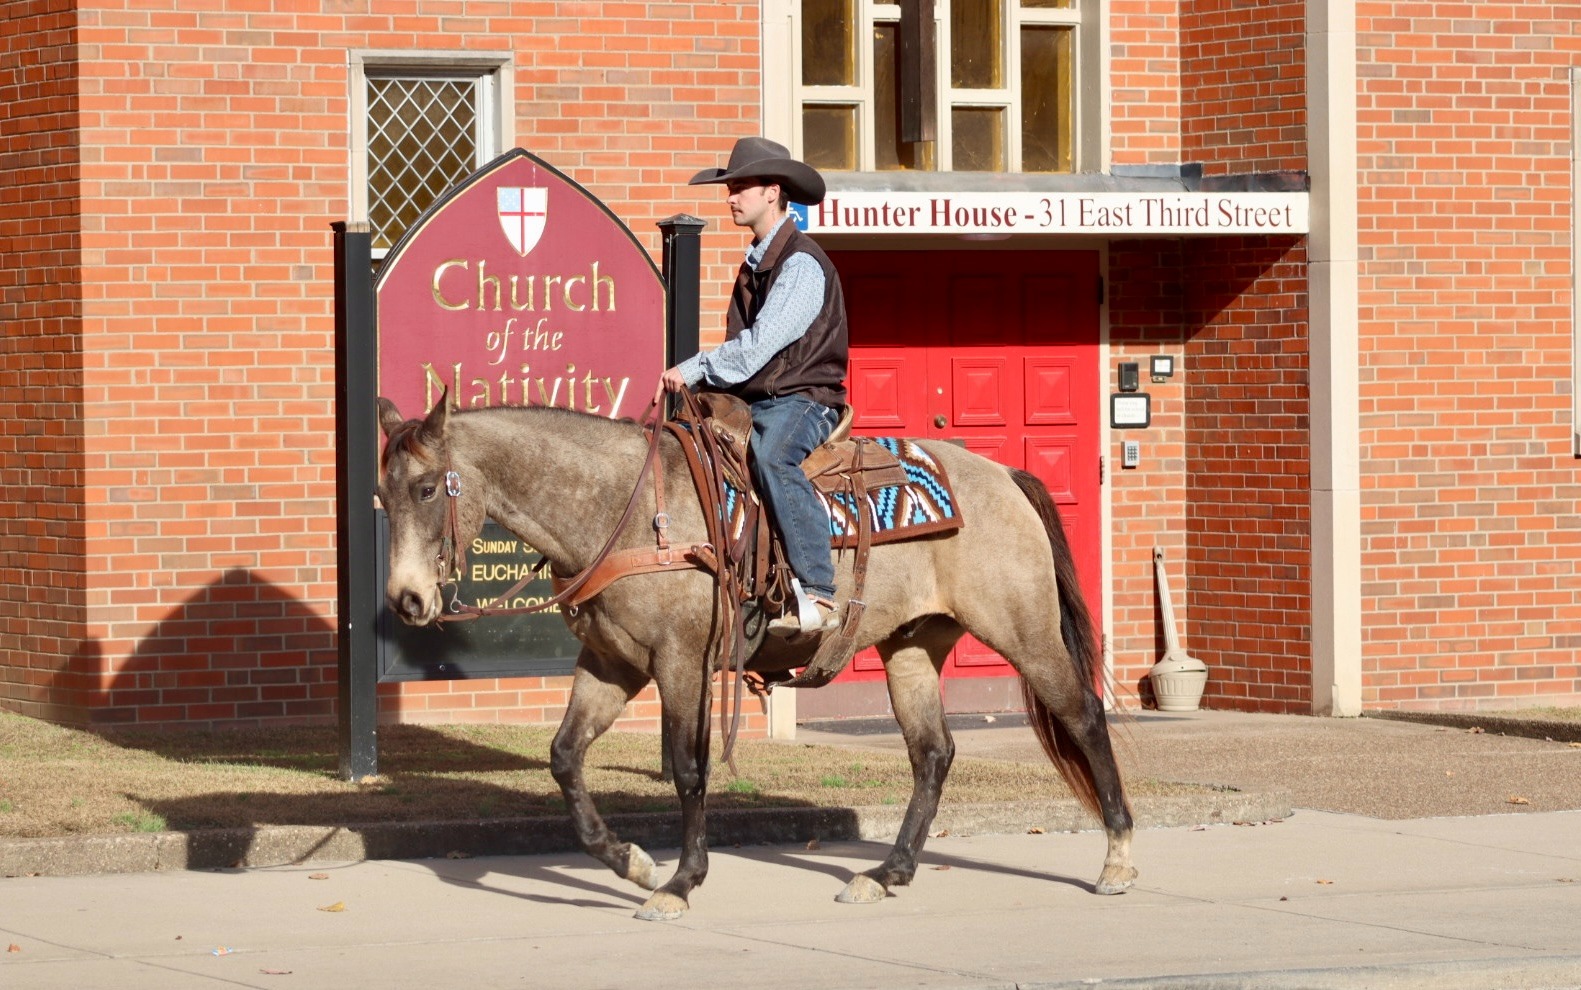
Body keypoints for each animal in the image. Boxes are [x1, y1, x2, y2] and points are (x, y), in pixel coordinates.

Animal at [376, 395, 1136, 921]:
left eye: (426, 488)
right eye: (382, 493)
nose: (406, 600)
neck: (623, 512)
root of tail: (1003, 475)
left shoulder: (679, 661)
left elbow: (689, 771)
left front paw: (680, 884)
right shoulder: (612, 662)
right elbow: (564, 757)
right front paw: (633, 864)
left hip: (1022, 629)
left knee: (1083, 716)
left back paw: (1118, 860)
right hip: (913, 645)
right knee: (932, 753)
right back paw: (886, 874)